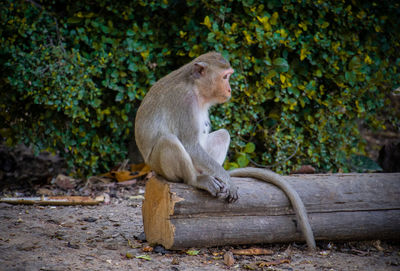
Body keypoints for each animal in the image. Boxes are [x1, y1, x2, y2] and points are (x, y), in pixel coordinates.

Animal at [136, 51, 318, 251]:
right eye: (225, 77)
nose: (230, 89)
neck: (196, 89)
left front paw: (225, 179)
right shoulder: (185, 102)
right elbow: (190, 144)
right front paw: (227, 179)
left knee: (223, 134)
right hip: (160, 167)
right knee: (169, 141)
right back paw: (196, 180)